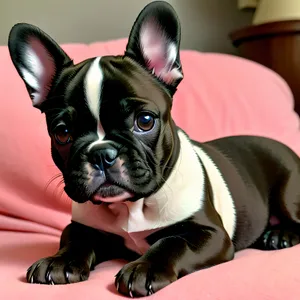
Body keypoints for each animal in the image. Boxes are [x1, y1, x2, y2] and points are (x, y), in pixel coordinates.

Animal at [6, 0, 300, 298]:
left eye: (145, 121)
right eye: (63, 133)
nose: (101, 153)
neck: (131, 207)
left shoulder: (211, 234)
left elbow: (173, 242)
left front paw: (144, 268)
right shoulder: (81, 227)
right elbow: (75, 239)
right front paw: (58, 261)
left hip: (288, 190)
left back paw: (280, 235)